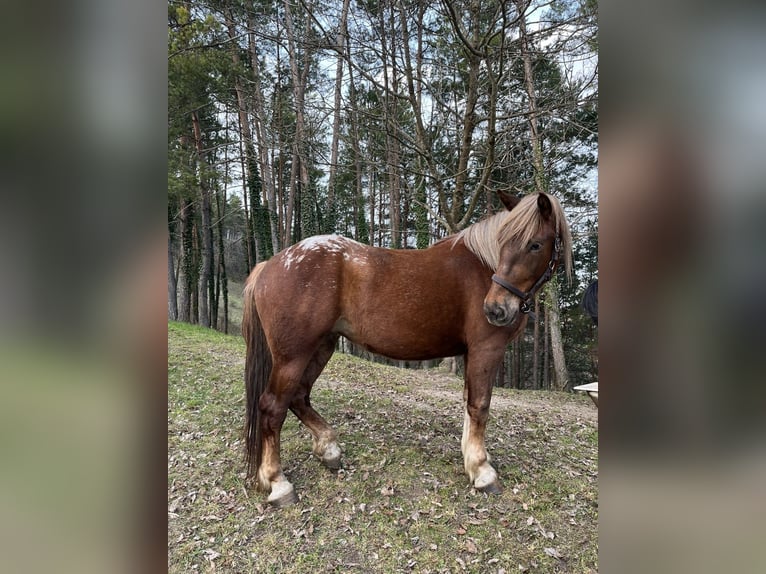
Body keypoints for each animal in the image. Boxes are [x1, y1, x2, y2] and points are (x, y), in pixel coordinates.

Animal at [242, 192, 572, 506]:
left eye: (535, 245)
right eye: (504, 242)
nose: (495, 309)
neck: (482, 268)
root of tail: (271, 264)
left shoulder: (471, 354)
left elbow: (468, 404)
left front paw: (471, 460)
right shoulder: (486, 349)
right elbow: (479, 406)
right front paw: (482, 471)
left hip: (322, 346)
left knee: (298, 397)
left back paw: (329, 449)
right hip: (293, 356)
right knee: (272, 407)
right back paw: (278, 483)